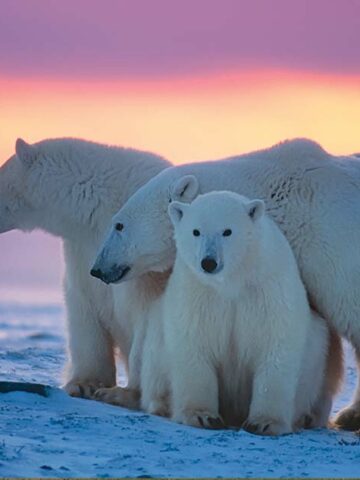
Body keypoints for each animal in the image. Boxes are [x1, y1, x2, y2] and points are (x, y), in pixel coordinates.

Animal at [0, 136, 171, 398]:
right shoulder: (84, 248)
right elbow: (84, 305)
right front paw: (85, 384)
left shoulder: (146, 256)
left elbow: (150, 315)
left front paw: (123, 394)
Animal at [136, 192, 342, 436]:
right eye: (196, 231)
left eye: (227, 231)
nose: (209, 262)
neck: (233, 282)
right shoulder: (197, 292)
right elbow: (194, 342)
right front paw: (202, 416)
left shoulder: (268, 290)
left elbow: (275, 346)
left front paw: (264, 423)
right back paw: (162, 403)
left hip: (317, 349)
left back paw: (306, 417)